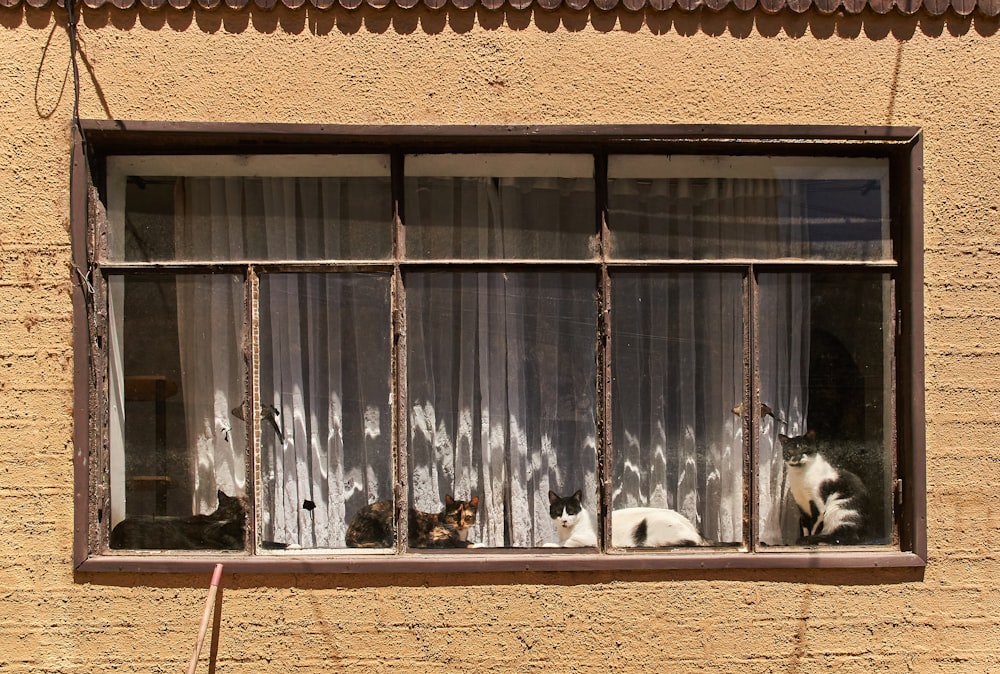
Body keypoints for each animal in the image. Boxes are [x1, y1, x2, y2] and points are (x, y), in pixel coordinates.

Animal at [548, 488, 704, 544]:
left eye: (571, 511)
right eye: (558, 513)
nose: (564, 520)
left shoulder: (590, 538)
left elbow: (569, 541)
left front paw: (554, 544)